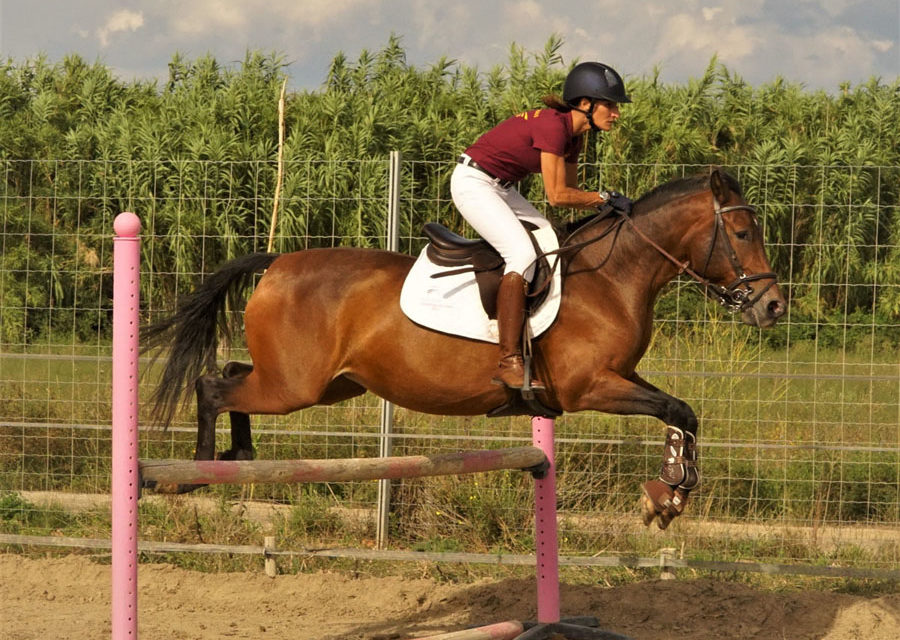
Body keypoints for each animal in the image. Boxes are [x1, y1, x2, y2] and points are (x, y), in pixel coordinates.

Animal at [143, 167, 786, 529]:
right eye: (742, 232)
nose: (774, 306)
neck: (612, 275)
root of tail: (277, 262)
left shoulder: (620, 378)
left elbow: (683, 412)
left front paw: (669, 497)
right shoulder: (590, 387)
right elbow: (676, 408)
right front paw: (666, 495)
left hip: (325, 384)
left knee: (231, 372)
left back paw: (238, 457)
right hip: (295, 386)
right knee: (213, 385)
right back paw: (194, 472)